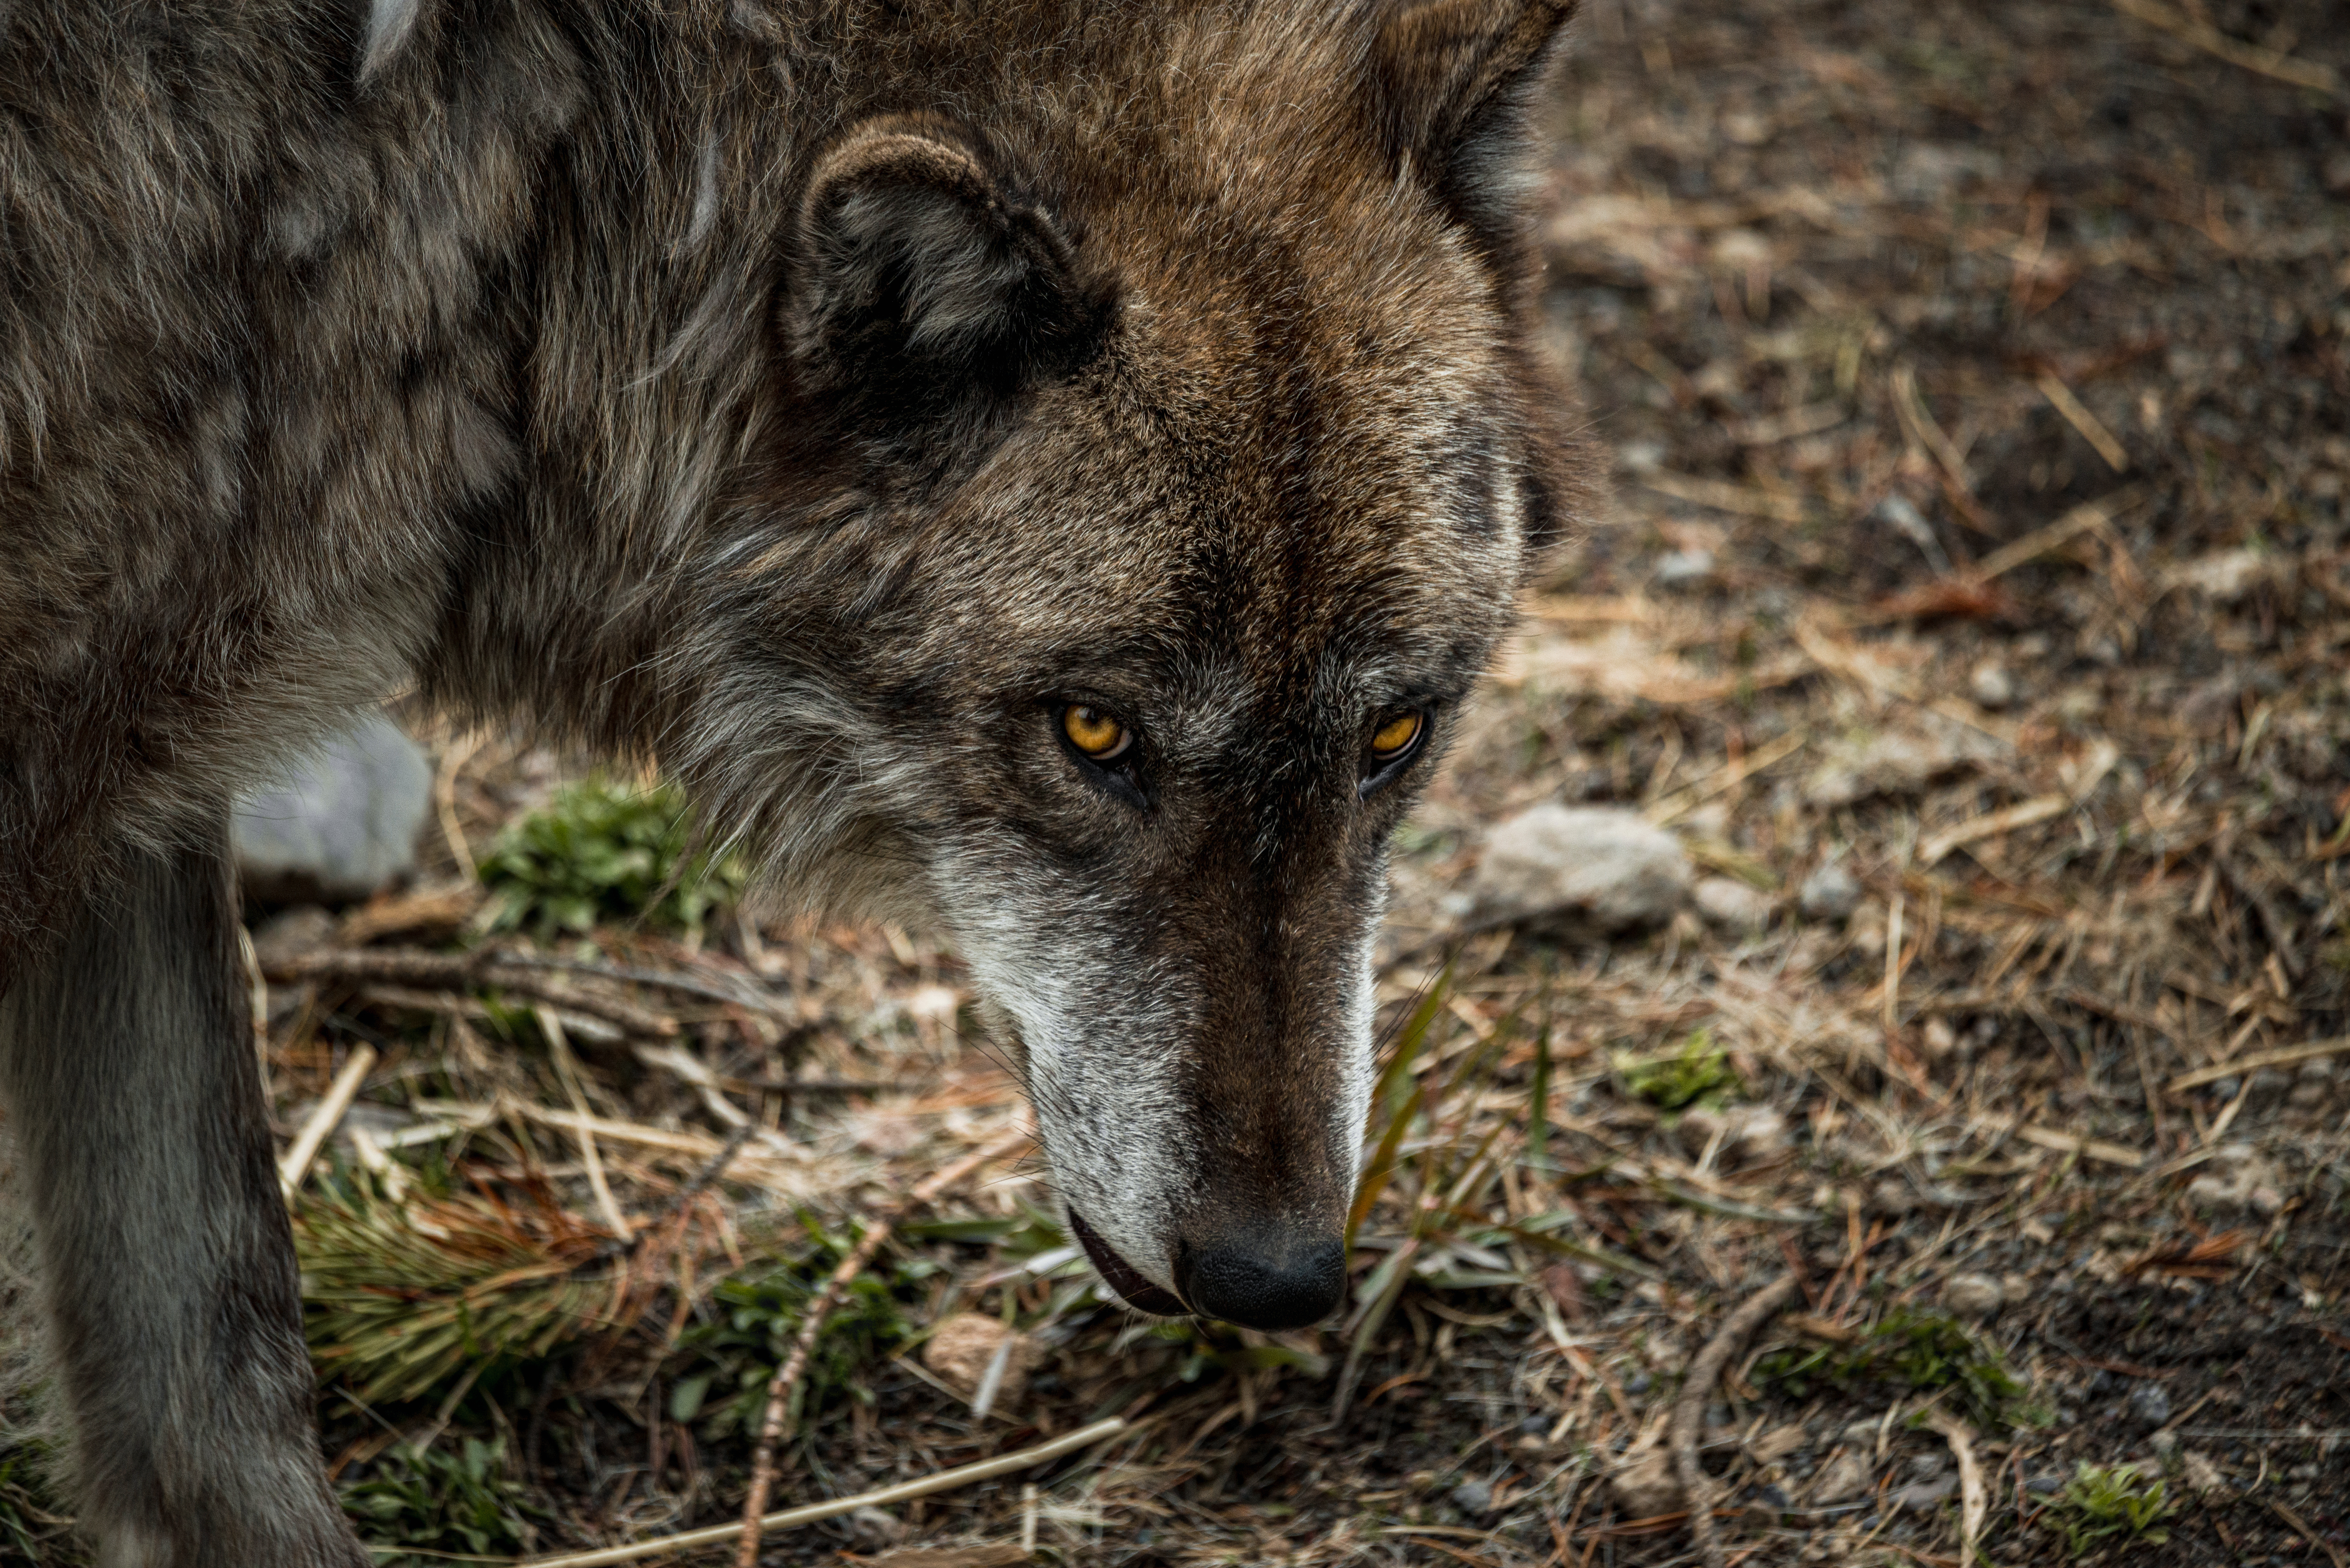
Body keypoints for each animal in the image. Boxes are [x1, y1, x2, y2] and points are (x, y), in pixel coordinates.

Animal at [0, 0, 1585, 1560]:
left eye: (1394, 737)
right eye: (1092, 733)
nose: (1277, 1274)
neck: (555, 161)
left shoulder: (138, 774)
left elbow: (214, 1353)